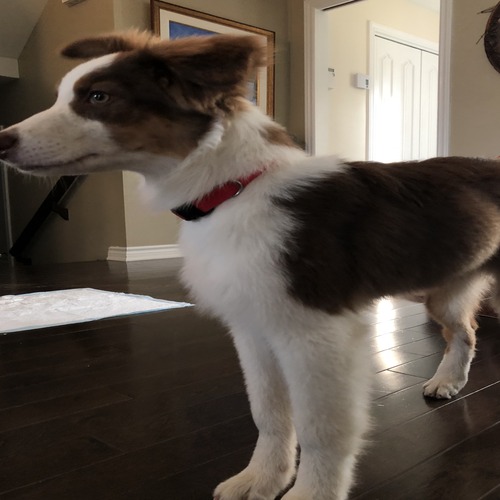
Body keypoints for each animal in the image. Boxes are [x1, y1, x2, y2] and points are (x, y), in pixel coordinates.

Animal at [0, 31, 499, 499]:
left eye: (99, 98)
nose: (2, 140)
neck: (234, 190)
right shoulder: (254, 326)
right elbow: (269, 411)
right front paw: (261, 479)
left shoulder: (316, 332)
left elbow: (323, 427)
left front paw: (311, 493)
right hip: (446, 287)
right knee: (466, 332)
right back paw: (447, 381)